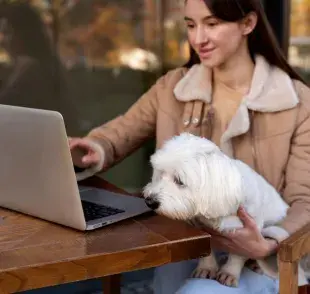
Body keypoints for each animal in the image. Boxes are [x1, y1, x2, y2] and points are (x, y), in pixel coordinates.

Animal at [143, 133, 300, 288]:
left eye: (179, 181)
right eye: (160, 174)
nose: (150, 201)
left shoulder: (247, 232)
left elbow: (238, 255)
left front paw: (229, 272)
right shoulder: (203, 231)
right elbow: (206, 250)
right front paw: (206, 268)